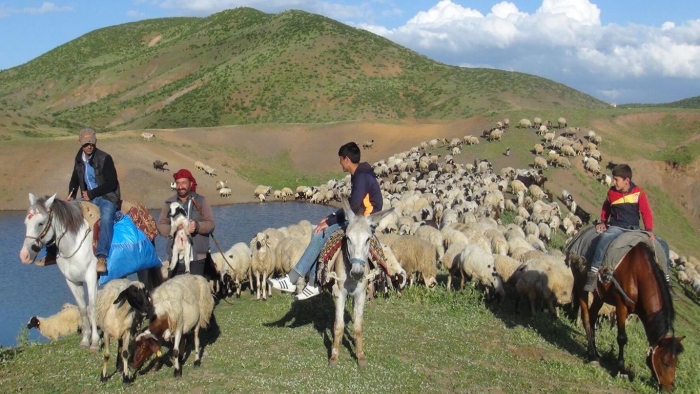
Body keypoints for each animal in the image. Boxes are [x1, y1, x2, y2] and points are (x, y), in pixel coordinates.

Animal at [19, 192, 100, 350]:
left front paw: (94, 342)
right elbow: (82, 309)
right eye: (25, 223)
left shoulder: (92, 277)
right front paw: (85, 340)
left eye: (40, 223)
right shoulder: (72, 281)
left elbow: (92, 308)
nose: (24, 256)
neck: (74, 244)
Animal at [328, 199, 394, 368]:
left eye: (367, 239)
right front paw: (334, 357)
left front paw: (360, 356)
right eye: (348, 238)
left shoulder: (361, 295)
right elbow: (338, 325)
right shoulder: (339, 293)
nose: (357, 273)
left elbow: (358, 326)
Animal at [576, 242, 684, 392]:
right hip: (582, 287)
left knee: (592, 317)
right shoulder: (621, 307)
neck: (638, 275)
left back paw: (594, 352)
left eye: (676, 362)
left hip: (599, 295)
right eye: (665, 363)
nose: (669, 388)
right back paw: (592, 355)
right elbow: (622, 338)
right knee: (586, 317)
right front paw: (621, 370)